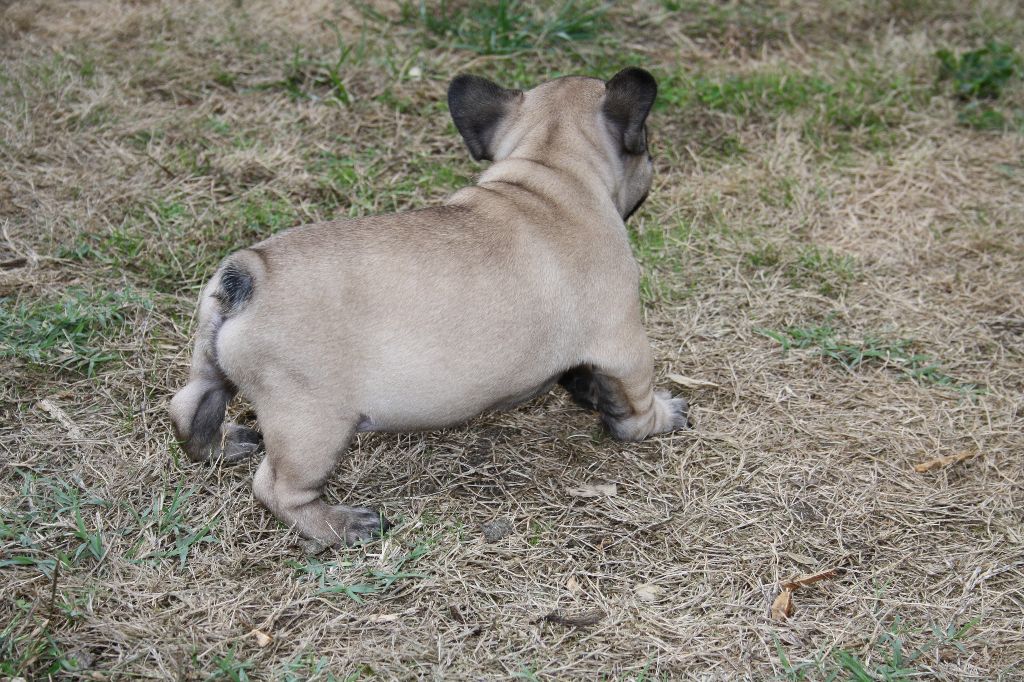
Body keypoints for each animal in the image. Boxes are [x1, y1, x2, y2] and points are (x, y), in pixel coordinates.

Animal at [169, 69, 688, 544]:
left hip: (212, 366)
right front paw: (660, 418)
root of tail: (248, 275)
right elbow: (637, 400)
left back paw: (223, 446)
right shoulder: (624, 342)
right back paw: (342, 526)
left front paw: (588, 391)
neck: (552, 171)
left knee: (188, 408)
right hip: (311, 422)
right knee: (276, 487)